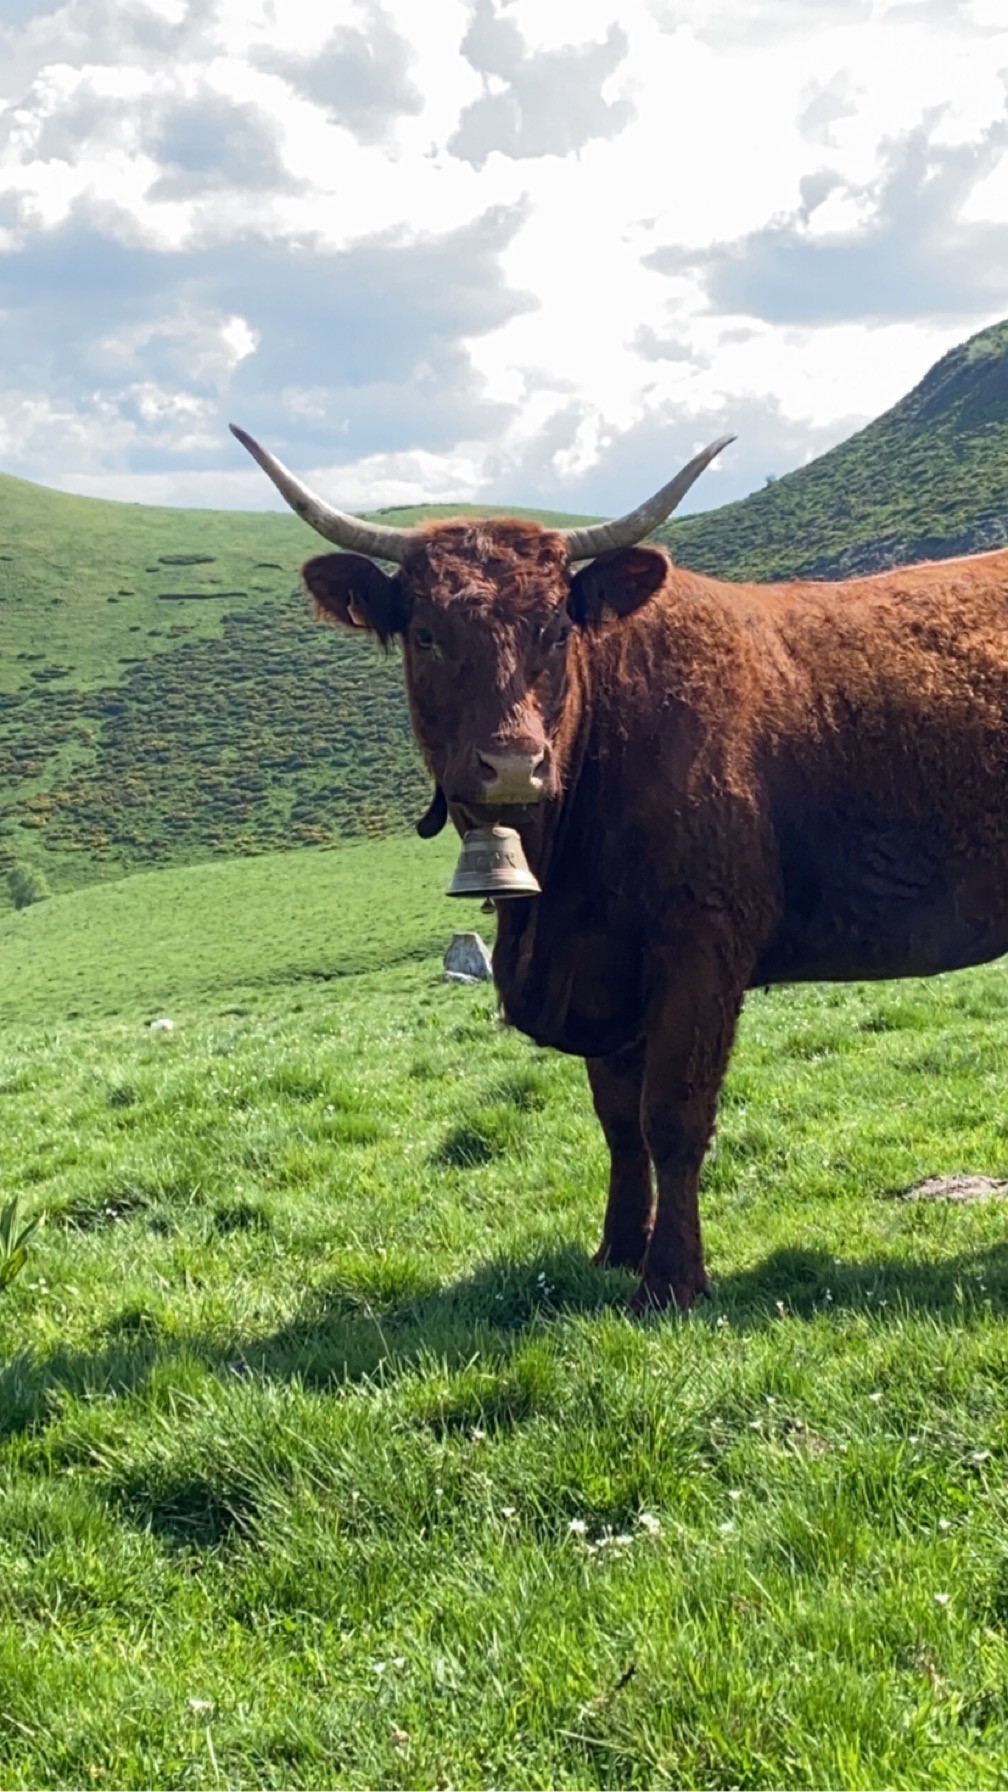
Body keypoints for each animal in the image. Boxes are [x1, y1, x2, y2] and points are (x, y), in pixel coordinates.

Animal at [233, 424, 1008, 1311]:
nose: (512, 763)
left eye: (555, 630)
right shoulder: (600, 972)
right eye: (426, 634)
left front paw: (671, 1279)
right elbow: (616, 1119)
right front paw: (616, 1249)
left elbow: (671, 1117)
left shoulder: (700, 951)